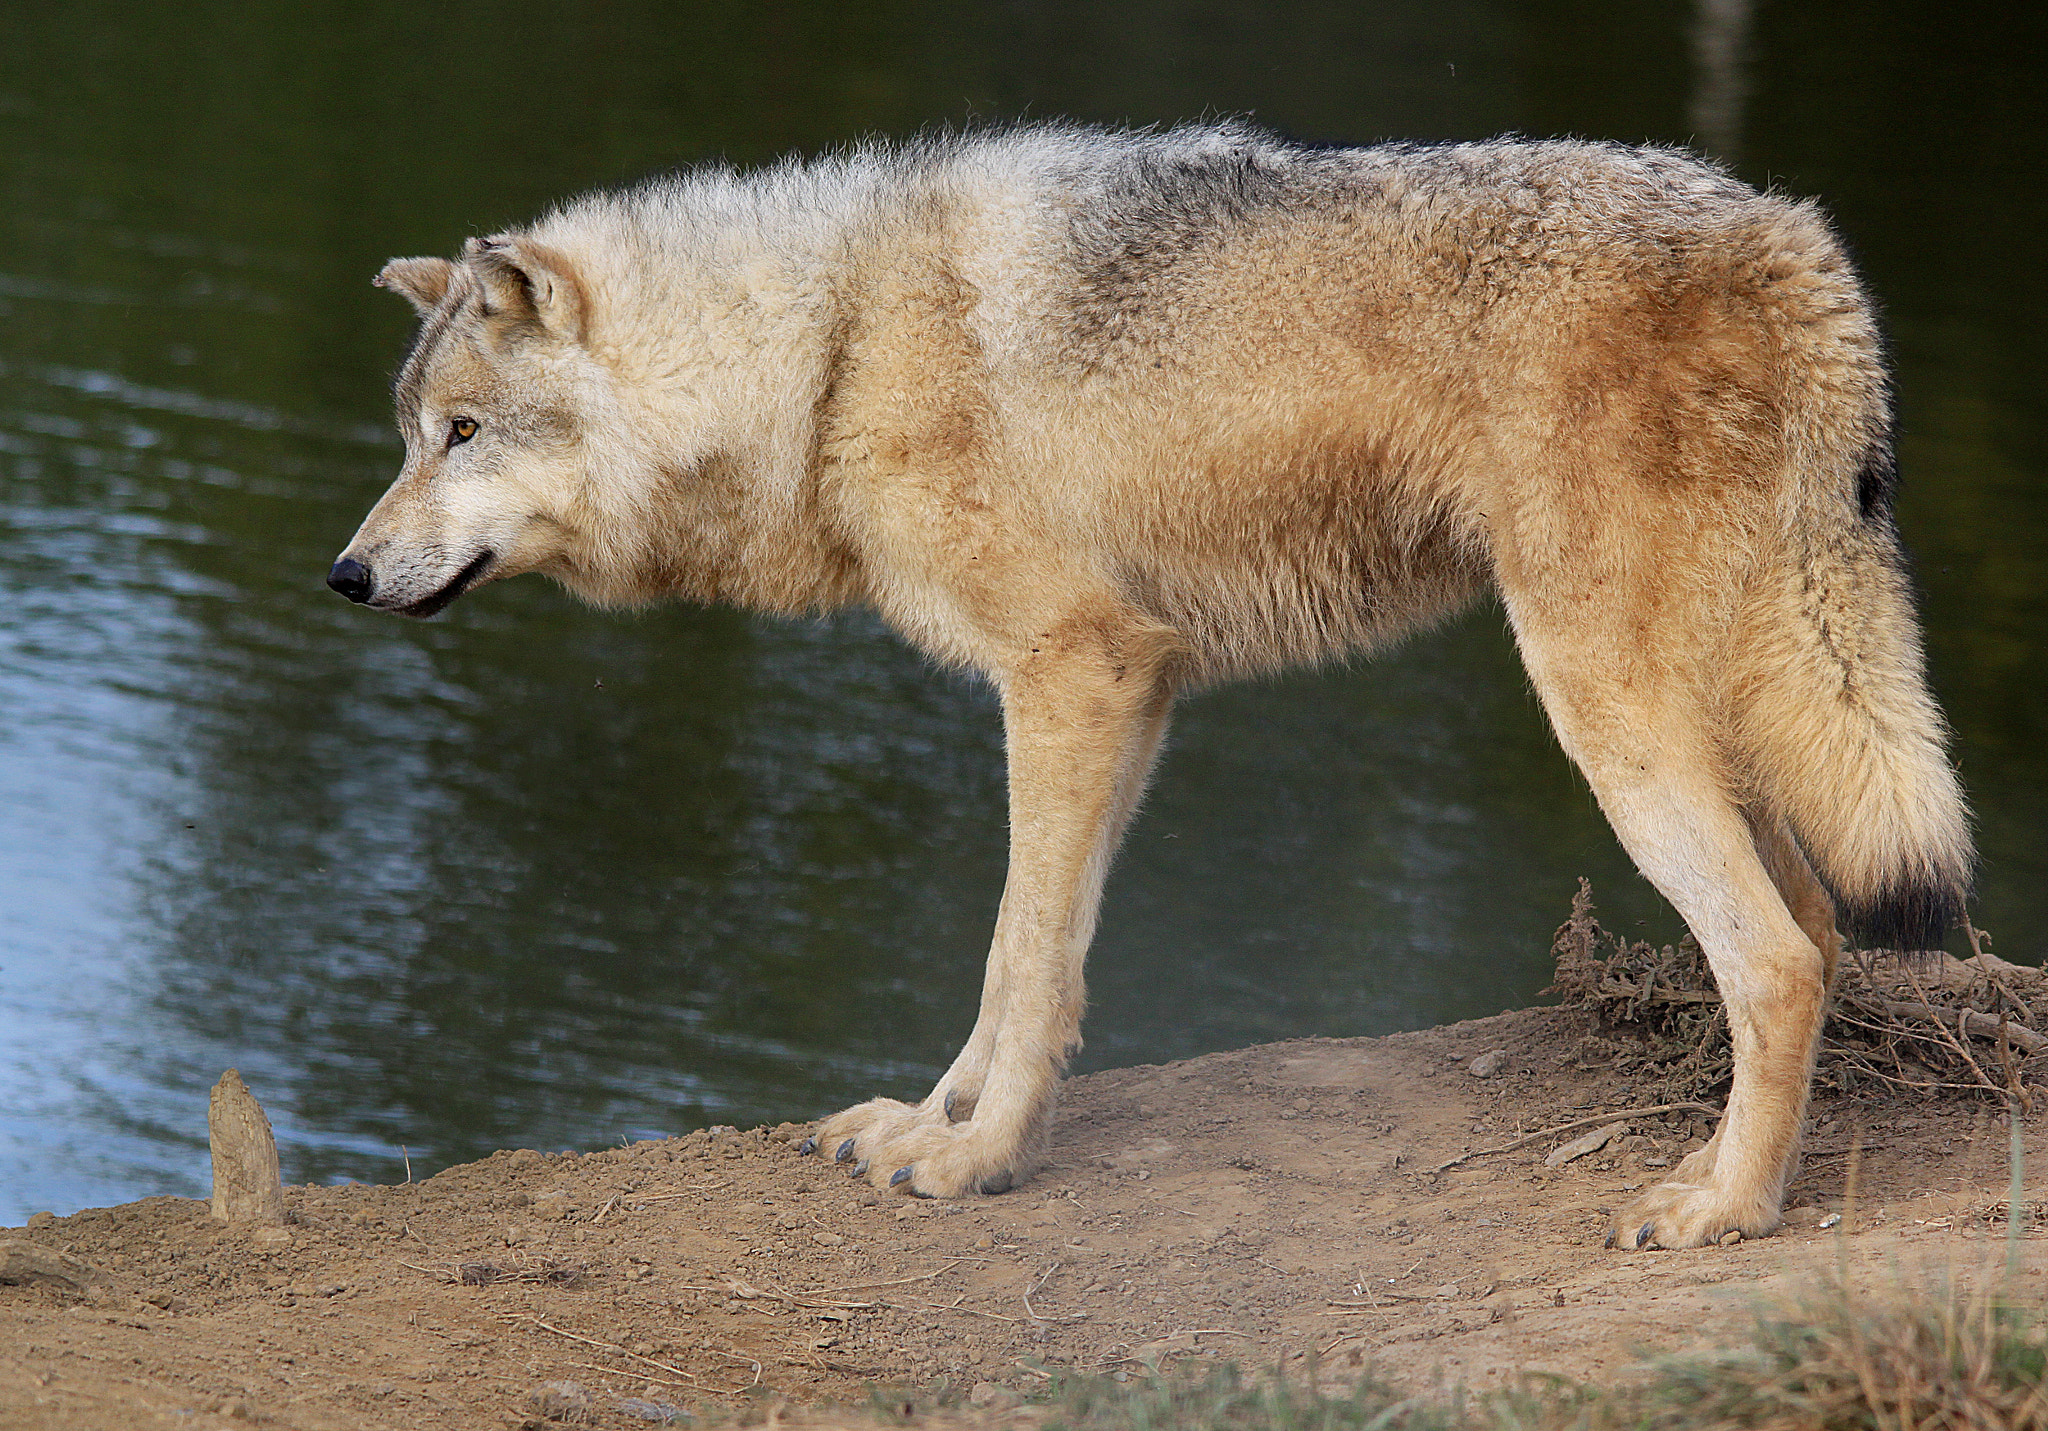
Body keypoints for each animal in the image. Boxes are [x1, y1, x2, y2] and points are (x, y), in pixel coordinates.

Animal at [330, 123, 1971, 1250]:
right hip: (1708, 705)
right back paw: (1725, 1170)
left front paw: (977, 1164)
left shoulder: (1072, 675)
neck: (829, 348)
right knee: (1819, 924)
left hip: (1602, 705)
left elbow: (1022, 951)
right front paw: (931, 1124)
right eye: (410, 436)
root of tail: (1796, 236)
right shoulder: (1134, 693)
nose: (343, 576)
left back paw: (1721, 1212)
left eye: (461, 433)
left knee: (1780, 956)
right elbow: (1020, 967)